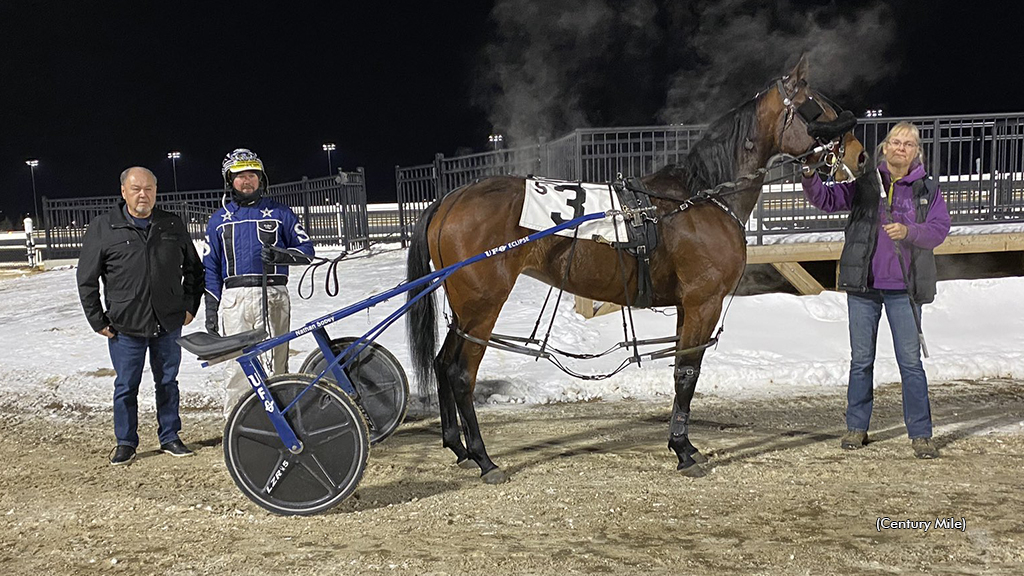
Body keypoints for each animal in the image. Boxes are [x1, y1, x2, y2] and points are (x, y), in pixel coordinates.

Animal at [403, 57, 860, 479]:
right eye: (819, 108)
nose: (857, 152)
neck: (699, 198)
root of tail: (451, 199)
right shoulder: (703, 302)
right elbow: (687, 374)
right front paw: (682, 450)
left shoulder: (686, 305)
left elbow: (681, 372)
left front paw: (685, 445)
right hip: (483, 306)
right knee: (461, 373)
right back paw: (483, 457)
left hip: (466, 310)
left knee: (442, 364)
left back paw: (458, 446)